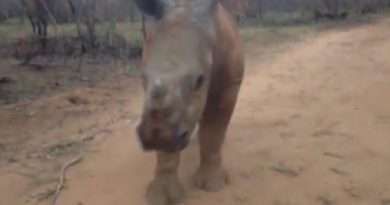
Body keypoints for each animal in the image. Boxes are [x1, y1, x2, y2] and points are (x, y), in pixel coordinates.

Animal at [134, 0, 244, 204]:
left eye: (200, 80)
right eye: (142, 77)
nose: (156, 136)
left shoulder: (231, 82)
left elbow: (214, 132)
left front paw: (213, 186)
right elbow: (166, 149)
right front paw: (160, 195)